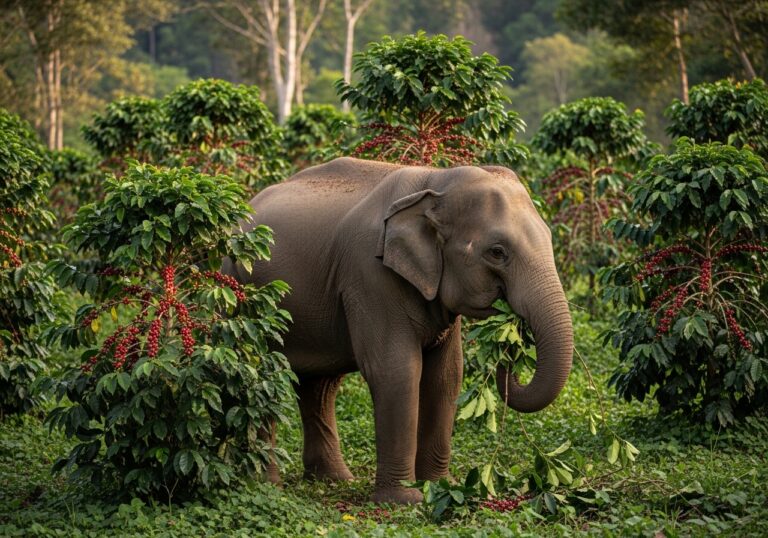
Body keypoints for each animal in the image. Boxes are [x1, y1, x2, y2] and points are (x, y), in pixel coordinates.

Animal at [224, 157, 573, 504]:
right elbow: (396, 371)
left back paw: (333, 480)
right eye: (497, 252)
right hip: (241, 295)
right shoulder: (370, 276)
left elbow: (446, 375)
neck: (435, 182)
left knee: (320, 386)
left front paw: (441, 486)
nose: (512, 337)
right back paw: (264, 486)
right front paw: (405, 501)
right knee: (257, 375)